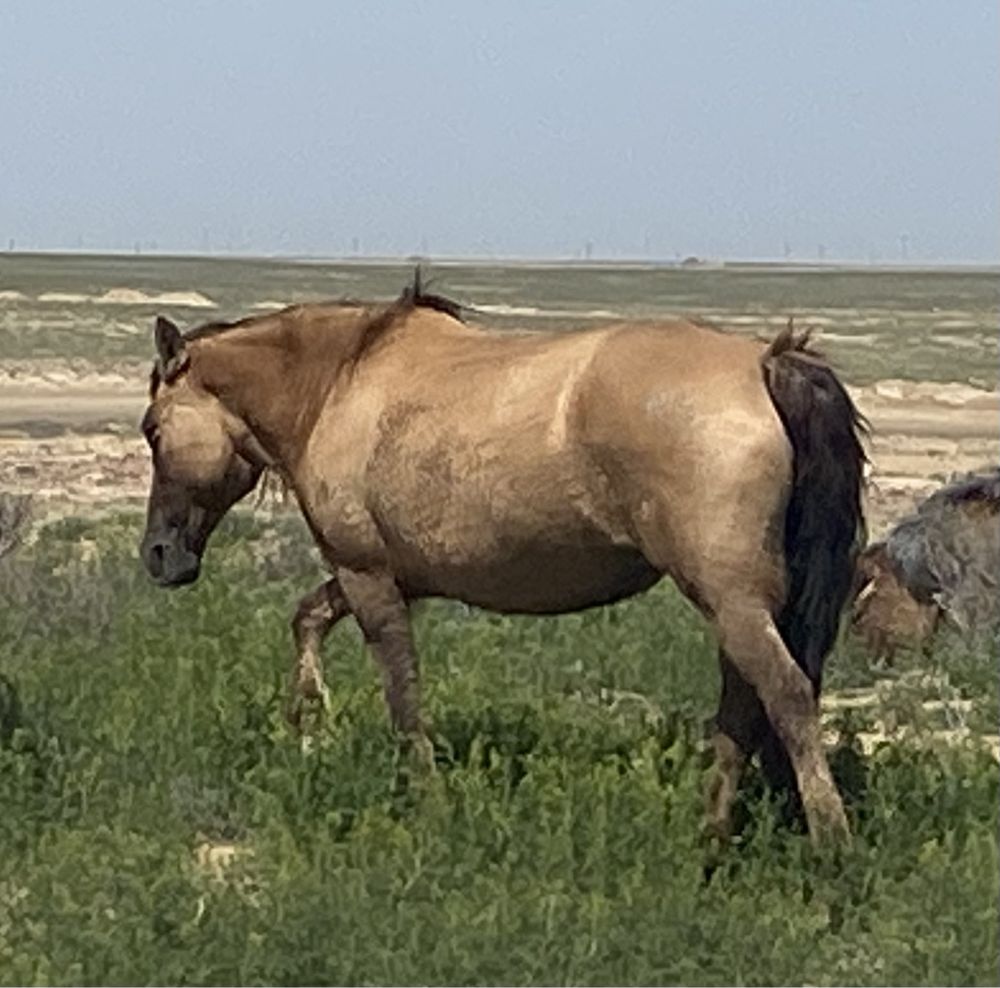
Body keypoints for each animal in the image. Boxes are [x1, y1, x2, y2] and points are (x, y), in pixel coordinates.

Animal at [139, 274, 868, 844]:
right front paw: (310, 725)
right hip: (741, 605)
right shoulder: (392, 575)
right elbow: (308, 619)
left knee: (785, 695)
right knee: (748, 704)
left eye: (151, 429)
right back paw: (712, 834)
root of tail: (765, 365)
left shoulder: (367, 575)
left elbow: (402, 692)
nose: (158, 556)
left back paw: (830, 845)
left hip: (731, 600)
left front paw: (424, 797)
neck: (336, 385)